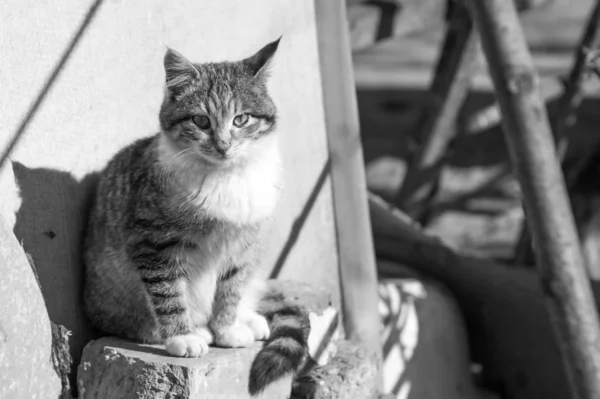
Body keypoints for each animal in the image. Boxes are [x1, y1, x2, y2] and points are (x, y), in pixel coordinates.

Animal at [82, 37, 310, 396]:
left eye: (241, 119)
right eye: (201, 121)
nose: (223, 145)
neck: (226, 177)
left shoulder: (243, 244)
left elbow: (231, 288)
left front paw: (227, 329)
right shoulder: (152, 242)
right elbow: (168, 293)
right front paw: (182, 336)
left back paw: (248, 320)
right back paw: (195, 329)